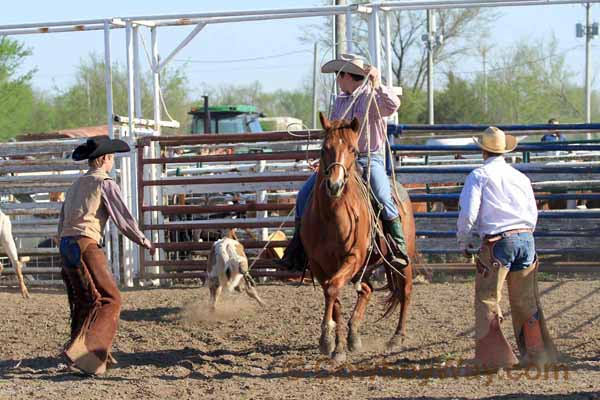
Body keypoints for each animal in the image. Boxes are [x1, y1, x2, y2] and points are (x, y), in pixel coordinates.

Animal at [302, 113, 414, 362]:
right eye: (324, 149)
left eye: (353, 149)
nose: (334, 185)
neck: (330, 216)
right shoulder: (318, 264)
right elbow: (333, 296)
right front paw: (336, 343)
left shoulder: (352, 257)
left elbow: (333, 289)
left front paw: (328, 340)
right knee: (367, 289)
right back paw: (354, 336)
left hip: (402, 260)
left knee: (405, 291)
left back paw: (397, 337)